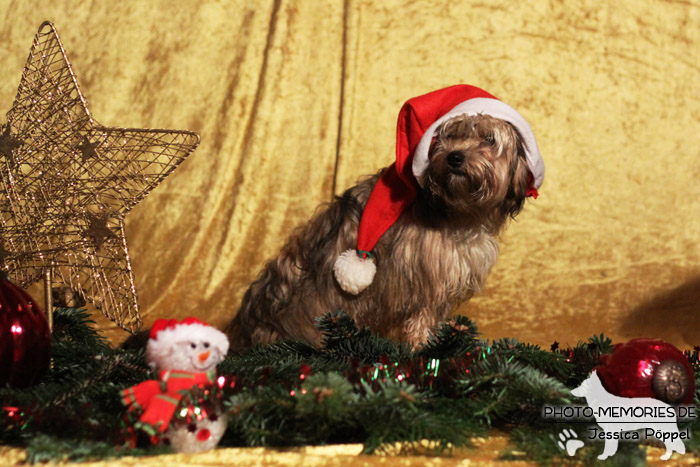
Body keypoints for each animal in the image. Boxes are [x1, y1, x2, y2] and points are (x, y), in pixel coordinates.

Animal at [227, 86, 544, 352]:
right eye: (447, 136)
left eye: (488, 139)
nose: (455, 157)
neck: (458, 211)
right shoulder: (425, 279)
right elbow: (421, 317)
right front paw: (424, 348)